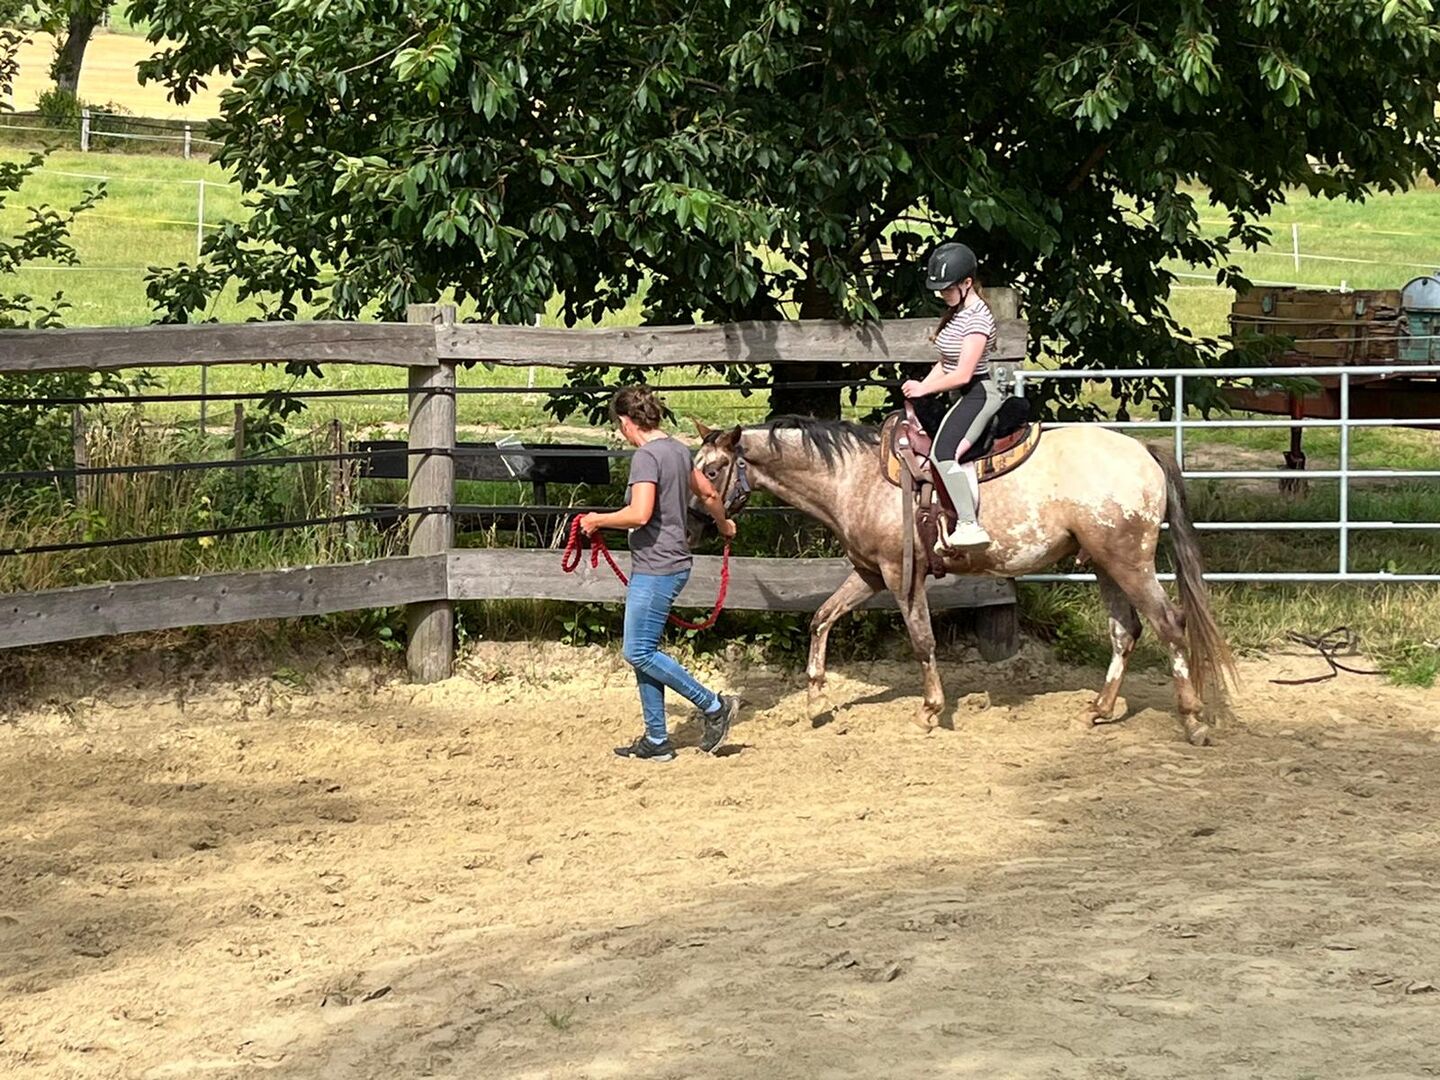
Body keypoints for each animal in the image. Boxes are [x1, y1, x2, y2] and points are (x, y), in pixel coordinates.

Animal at [689, 415, 1235, 746]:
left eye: (714, 469)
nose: (694, 517)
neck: (855, 477)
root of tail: (1143, 450)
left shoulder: (900, 575)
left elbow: (922, 641)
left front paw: (930, 710)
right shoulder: (869, 573)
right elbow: (821, 617)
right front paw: (817, 700)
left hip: (1129, 562)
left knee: (1170, 624)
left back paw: (1191, 719)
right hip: (1105, 564)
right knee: (1126, 631)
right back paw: (1097, 711)